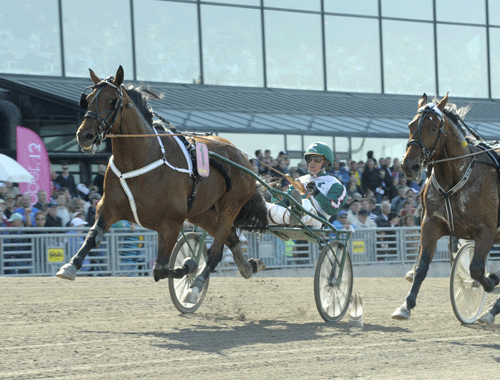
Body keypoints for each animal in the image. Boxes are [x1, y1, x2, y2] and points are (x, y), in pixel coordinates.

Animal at [56, 65, 268, 302]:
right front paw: (70, 266)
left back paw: (195, 287)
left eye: (111, 100)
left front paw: (188, 267)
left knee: (216, 251)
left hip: (230, 205)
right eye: (88, 99)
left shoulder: (171, 222)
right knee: (230, 237)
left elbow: (160, 269)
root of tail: (241, 156)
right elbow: (93, 236)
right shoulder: (108, 206)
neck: (140, 159)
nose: (84, 135)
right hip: (201, 211)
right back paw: (248, 266)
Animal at [392, 93, 498, 320]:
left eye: (433, 128)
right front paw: (406, 305)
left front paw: (492, 280)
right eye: (410, 125)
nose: (409, 166)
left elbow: (477, 269)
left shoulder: (487, 231)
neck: (458, 176)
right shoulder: (431, 223)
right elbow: (422, 266)